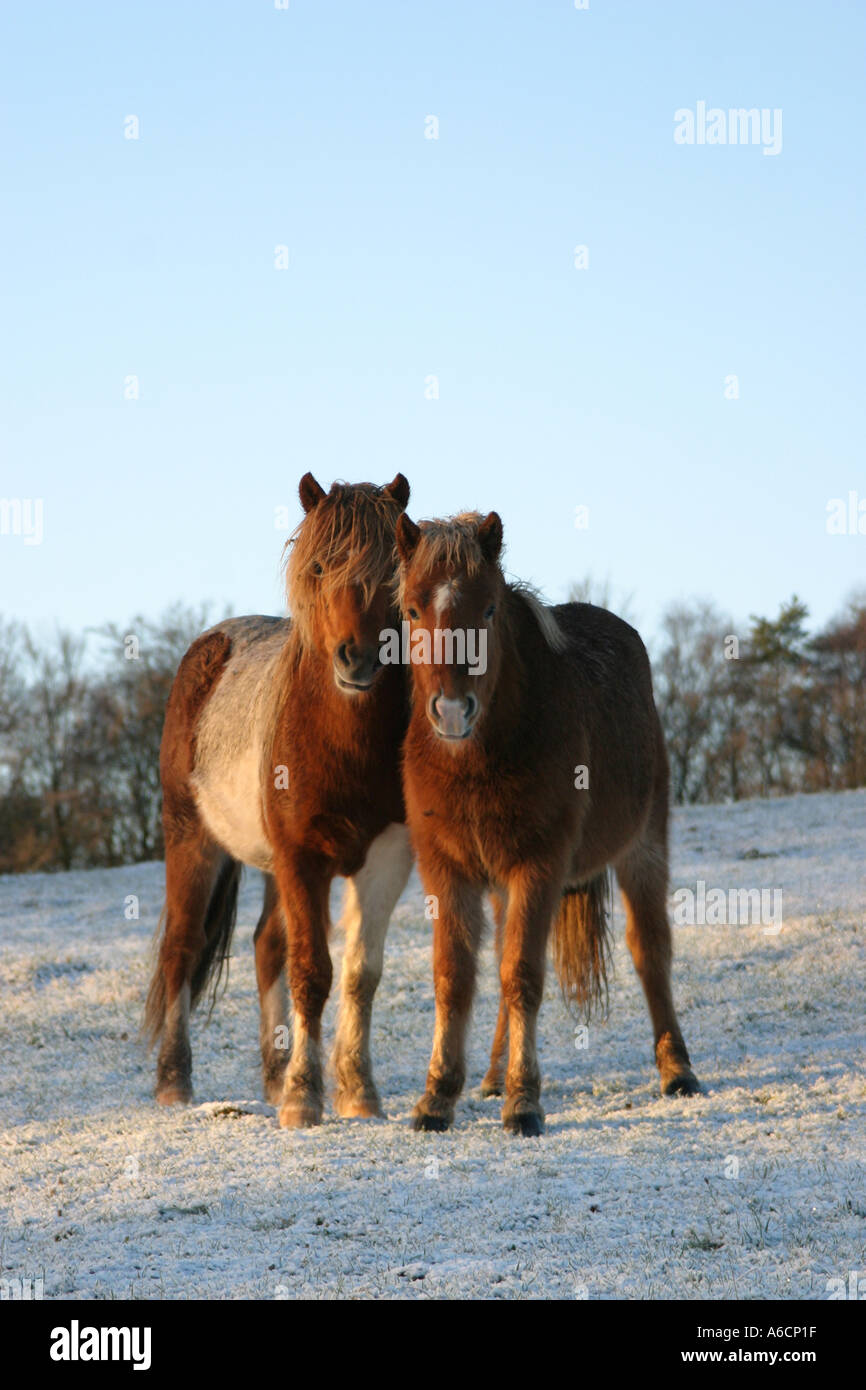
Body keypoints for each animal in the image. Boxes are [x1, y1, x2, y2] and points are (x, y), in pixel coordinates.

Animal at [143, 472, 414, 1123]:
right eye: (318, 567)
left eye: (391, 572)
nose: (357, 658)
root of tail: (211, 644)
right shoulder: (302, 859)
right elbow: (312, 972)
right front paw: (303, 1102)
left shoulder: (385, 860)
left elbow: (360, 974)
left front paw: (356, 1093)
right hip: (193, 840)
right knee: (181, 949)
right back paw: (175, 1084)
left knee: (267, 947)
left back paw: (272, 1076)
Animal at [397, 505, 700, 1134]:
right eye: (412, 611)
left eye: (488, 609)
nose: (452, 711)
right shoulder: (448, 871)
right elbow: (455, 977)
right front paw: (438, 1098)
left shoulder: (537, 866)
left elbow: (523, 977)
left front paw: (523, 1102)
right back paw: (490, 1076)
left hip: (643, 848)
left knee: (649, 950)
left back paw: (678, 1070)